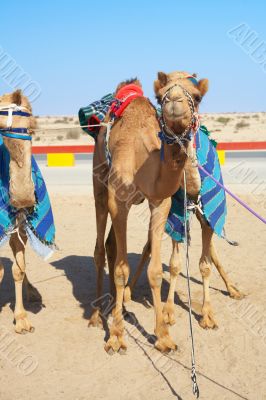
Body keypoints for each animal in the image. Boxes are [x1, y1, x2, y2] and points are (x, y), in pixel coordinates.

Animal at [90, 72, 211, 354]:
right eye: (160, 96)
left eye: (197, 96)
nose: (175, 101)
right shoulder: (118, 200)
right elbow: (122, 269)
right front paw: (116, 336)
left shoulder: (159, 202)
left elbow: (155, 272)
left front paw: (163, 337)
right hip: (99, 182)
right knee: (100, 247)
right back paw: (97, 315)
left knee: (111, 245)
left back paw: (118, 305)